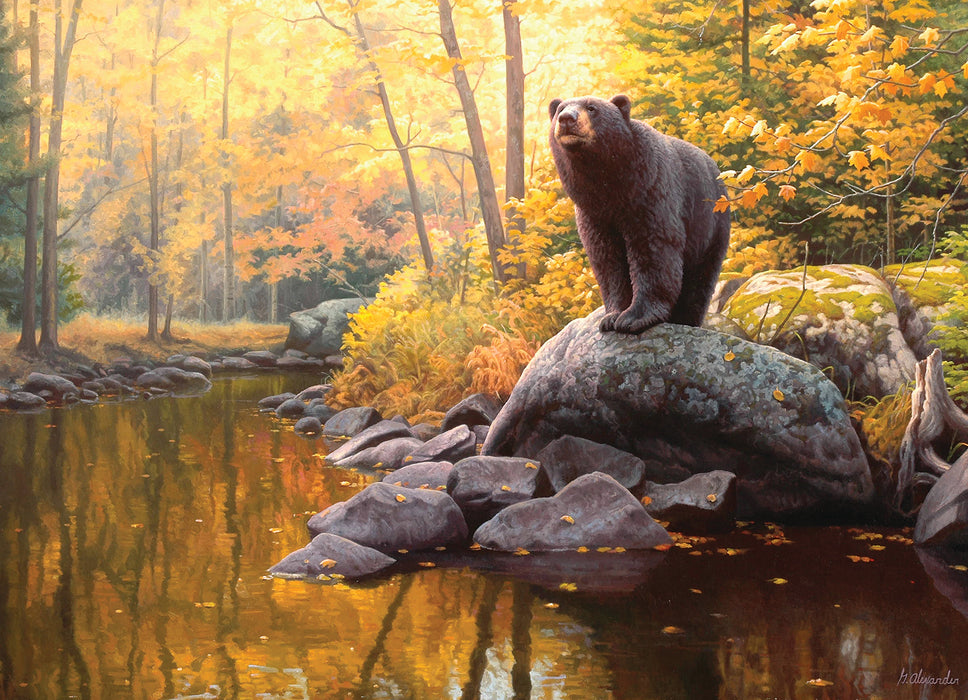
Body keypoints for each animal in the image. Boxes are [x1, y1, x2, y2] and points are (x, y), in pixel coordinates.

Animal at [549, 94, 731, 334]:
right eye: (560, 108)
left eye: (592, 108)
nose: (567, 118)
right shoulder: (593, 212)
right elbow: (608, 260)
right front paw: (611, 316)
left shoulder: (650, 191)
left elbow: (653, 249)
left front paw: (634, 317)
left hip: (711, 224)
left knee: (699, 280)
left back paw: (684, 319)